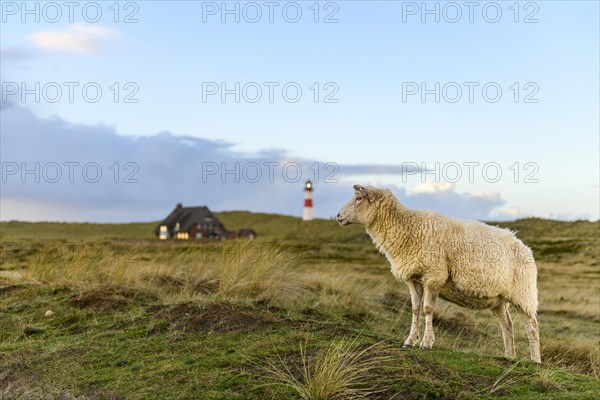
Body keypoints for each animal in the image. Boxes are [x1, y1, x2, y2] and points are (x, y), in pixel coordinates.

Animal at [336, 186, 540, 364]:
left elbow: (427, 309)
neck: (409, 228)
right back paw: (509, 356)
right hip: (499, 299)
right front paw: (410, 340)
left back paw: (535, 360)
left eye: (359, 198)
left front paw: (426, 342)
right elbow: (415, 309)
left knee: (532, 326)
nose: (338, 216)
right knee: (507, 325)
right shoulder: (413, 279)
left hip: (523, 294)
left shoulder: (433, 276)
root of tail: (523, 246)